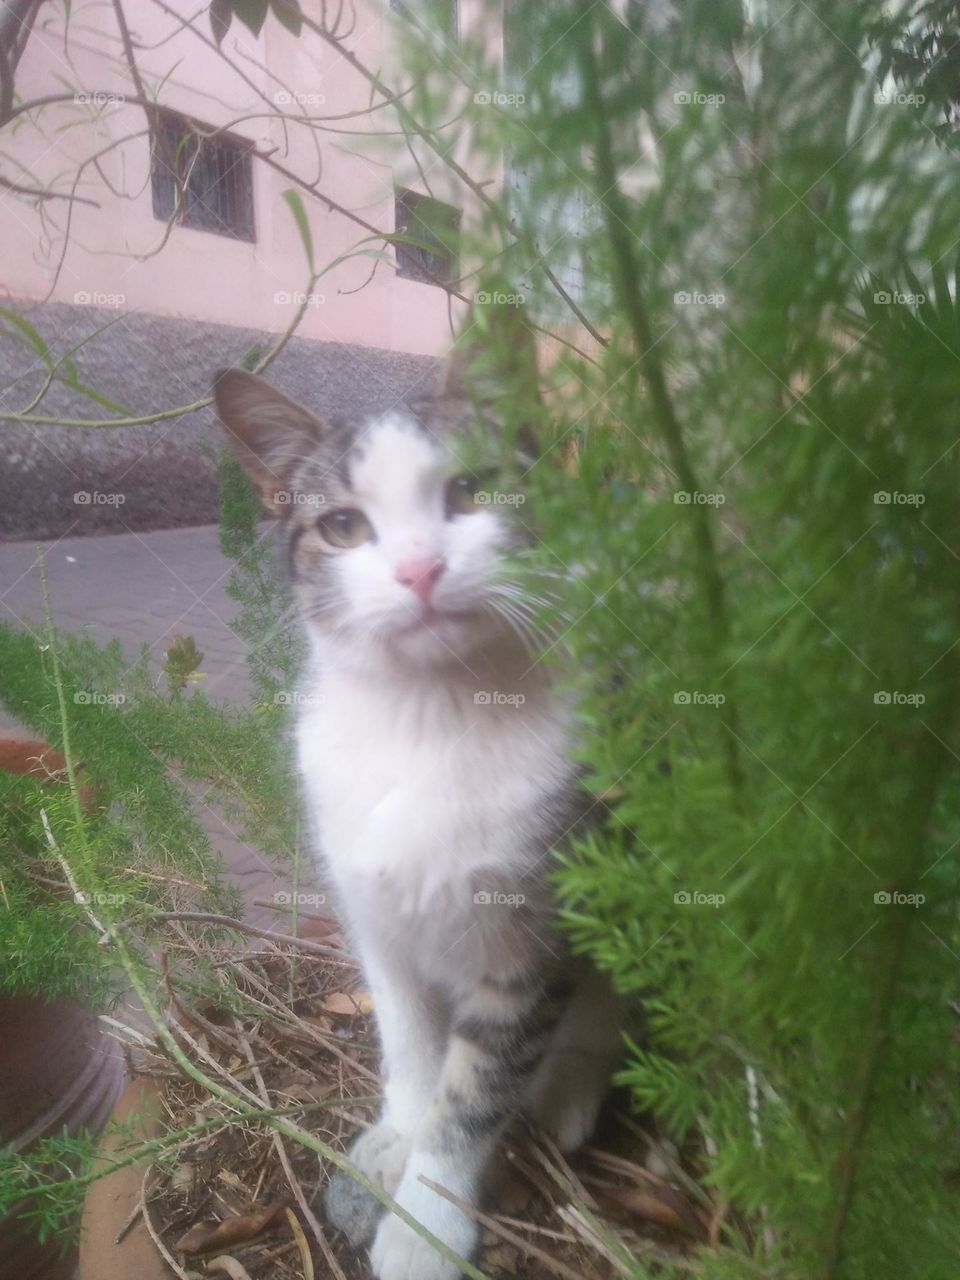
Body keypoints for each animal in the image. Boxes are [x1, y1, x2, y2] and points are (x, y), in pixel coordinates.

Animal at [213, 312, 619, 1280]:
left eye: (470, 490)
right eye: (342, 525)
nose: (420, 570)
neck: (431, 716)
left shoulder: (530, 937)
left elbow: (475, 1090)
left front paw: (429, 1218)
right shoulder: (373, 908)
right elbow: (410, 1042)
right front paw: (397, 1136)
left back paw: (569, 1086)